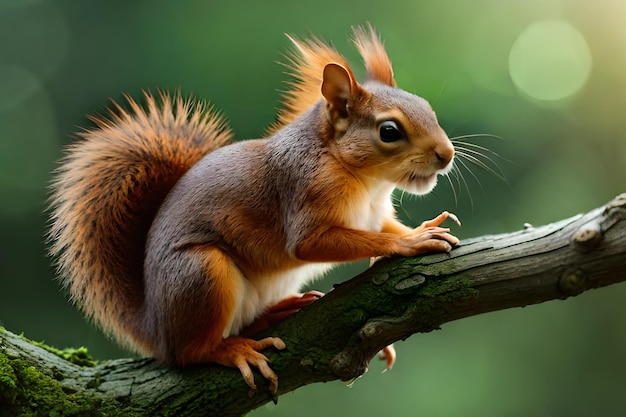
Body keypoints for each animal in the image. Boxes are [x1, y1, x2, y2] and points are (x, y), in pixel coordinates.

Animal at [47, 26, 458, 394]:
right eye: (389, 131)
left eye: (427, 107)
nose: (447, 154)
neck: (368, 182)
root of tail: (155, 329)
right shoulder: (305, 196)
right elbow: (319, 244)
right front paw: (410, 244)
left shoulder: (375, 213)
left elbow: (385, 227)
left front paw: (422, 228)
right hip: (200, 273)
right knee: (191, 352)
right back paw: (234, 351)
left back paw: (275, 313)